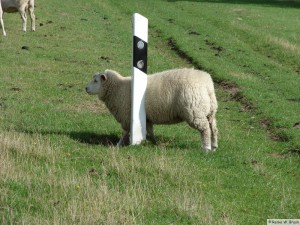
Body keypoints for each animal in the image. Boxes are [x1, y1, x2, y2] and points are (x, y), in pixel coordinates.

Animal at [85, 67, 218, 152]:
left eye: (96, 80)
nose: (86, 88)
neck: (118, 89)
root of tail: (207, 84)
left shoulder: (126, 116)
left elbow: (125, 132)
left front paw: (118, 145)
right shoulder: (146, 118)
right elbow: (150, 131)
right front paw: (155, 143)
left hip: (195, 111)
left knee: (205, 129)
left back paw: (206, 148)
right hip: (209, 111)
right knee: (213, 128)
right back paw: (214, 146)